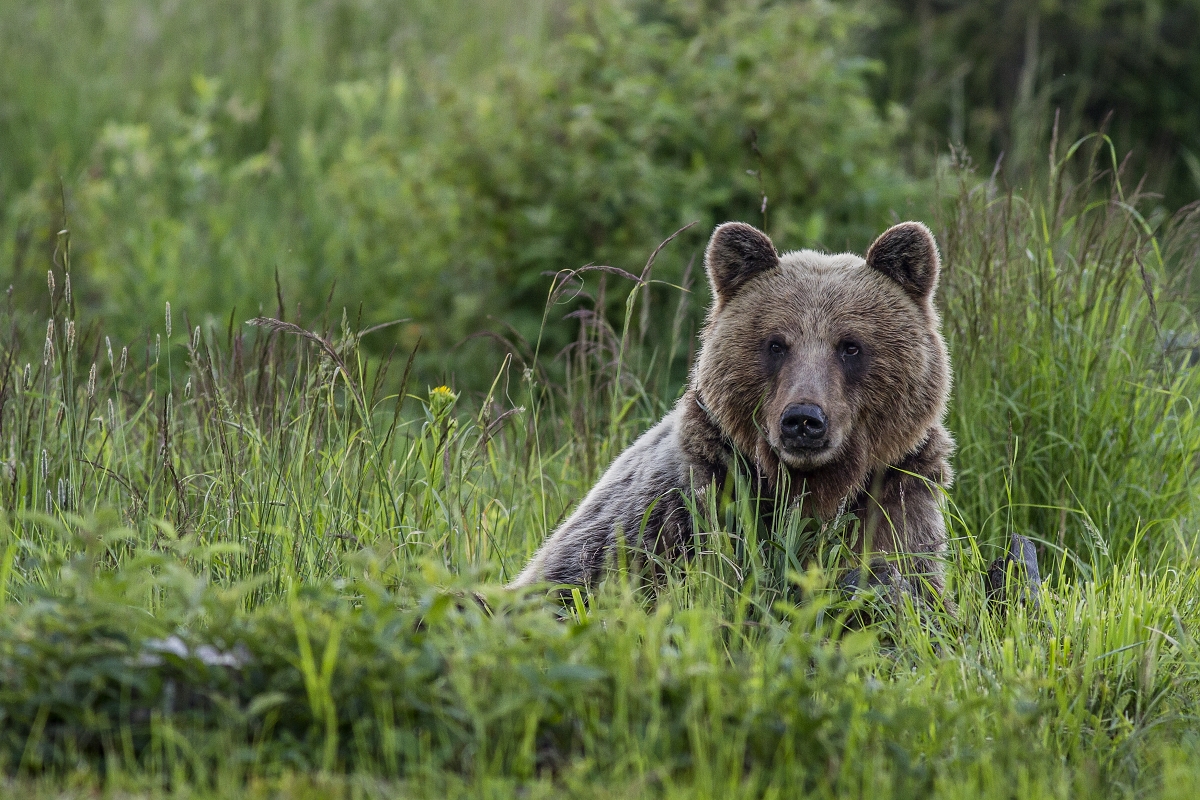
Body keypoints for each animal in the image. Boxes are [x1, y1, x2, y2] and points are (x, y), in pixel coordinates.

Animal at [508, 219, 955, 599]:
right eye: (776, 343)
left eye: (850, 346)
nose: (803, 420)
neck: (813, 486)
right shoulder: (678, 511)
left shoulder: (896, 497)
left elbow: (903, 581)